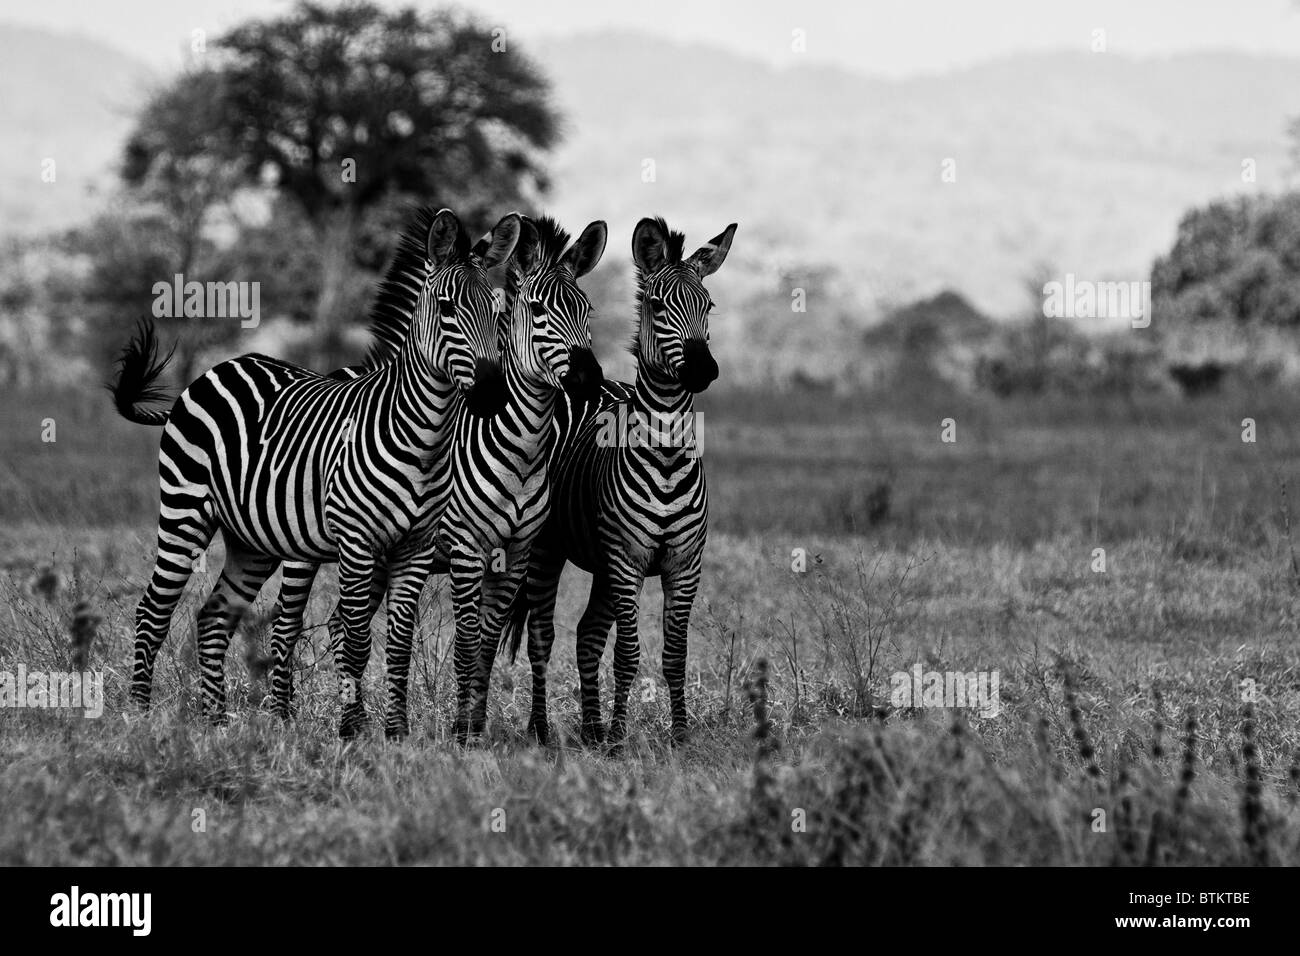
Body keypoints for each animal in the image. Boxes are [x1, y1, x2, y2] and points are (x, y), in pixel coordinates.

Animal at [109, 207, 520, 737]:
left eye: (498, 309)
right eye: (447, 307)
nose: (492, 394)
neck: (424, 437)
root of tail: (214, 370)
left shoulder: (415, 547)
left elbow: (399, 644)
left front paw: (397, 733)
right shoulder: (357, 542)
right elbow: (356, 638)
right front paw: (353, 729)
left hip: (254, 540)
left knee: (214, 616)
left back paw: (215, 719)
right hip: (184, 513)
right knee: (153, 610)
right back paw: (139, 713)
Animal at [267, 215, 608, 741]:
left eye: (586, 310)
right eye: (537, 310)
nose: (590, 381)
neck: (521, 449)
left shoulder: (517, 551)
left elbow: (487, 640)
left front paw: (477, 725)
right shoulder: (467, 547)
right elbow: (468, 639)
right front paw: (462, 731)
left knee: (343, 623)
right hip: (305, 547)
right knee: (288, 621)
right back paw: (282, 715)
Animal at [501, 216, 737, 746]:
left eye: (708, 306)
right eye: (658, 306)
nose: (704, 369)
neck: (667, 454)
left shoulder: (683, 565)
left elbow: (674, 655)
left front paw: (678, 735)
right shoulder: (627, 561)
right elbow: (628, 655)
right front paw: (619, 740)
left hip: (604, 564)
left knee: (587, 634)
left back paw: (591, 729)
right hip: (550, 550)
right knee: (543, 637)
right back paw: (543, 729)